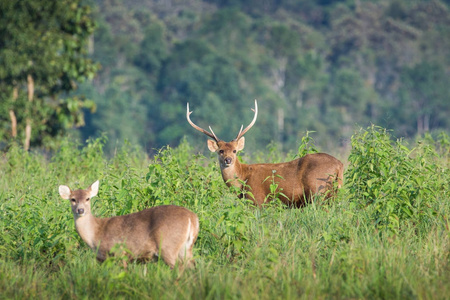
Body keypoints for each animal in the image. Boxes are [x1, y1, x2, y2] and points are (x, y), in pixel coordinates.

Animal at [58, 179, 199, 268]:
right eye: (73, 199)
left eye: (88, 198)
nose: (80, 210)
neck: (96, 233)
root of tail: (192, 218)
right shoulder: (102, 259)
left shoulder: (119, 252)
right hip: (186, 247)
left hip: (168, 245)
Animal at [186, 99, 344, 207]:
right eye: (221, 150)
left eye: (235, 150)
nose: (228, 160)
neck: (243, 179)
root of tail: (340, 164)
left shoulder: (257, 199)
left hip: (318, 190)